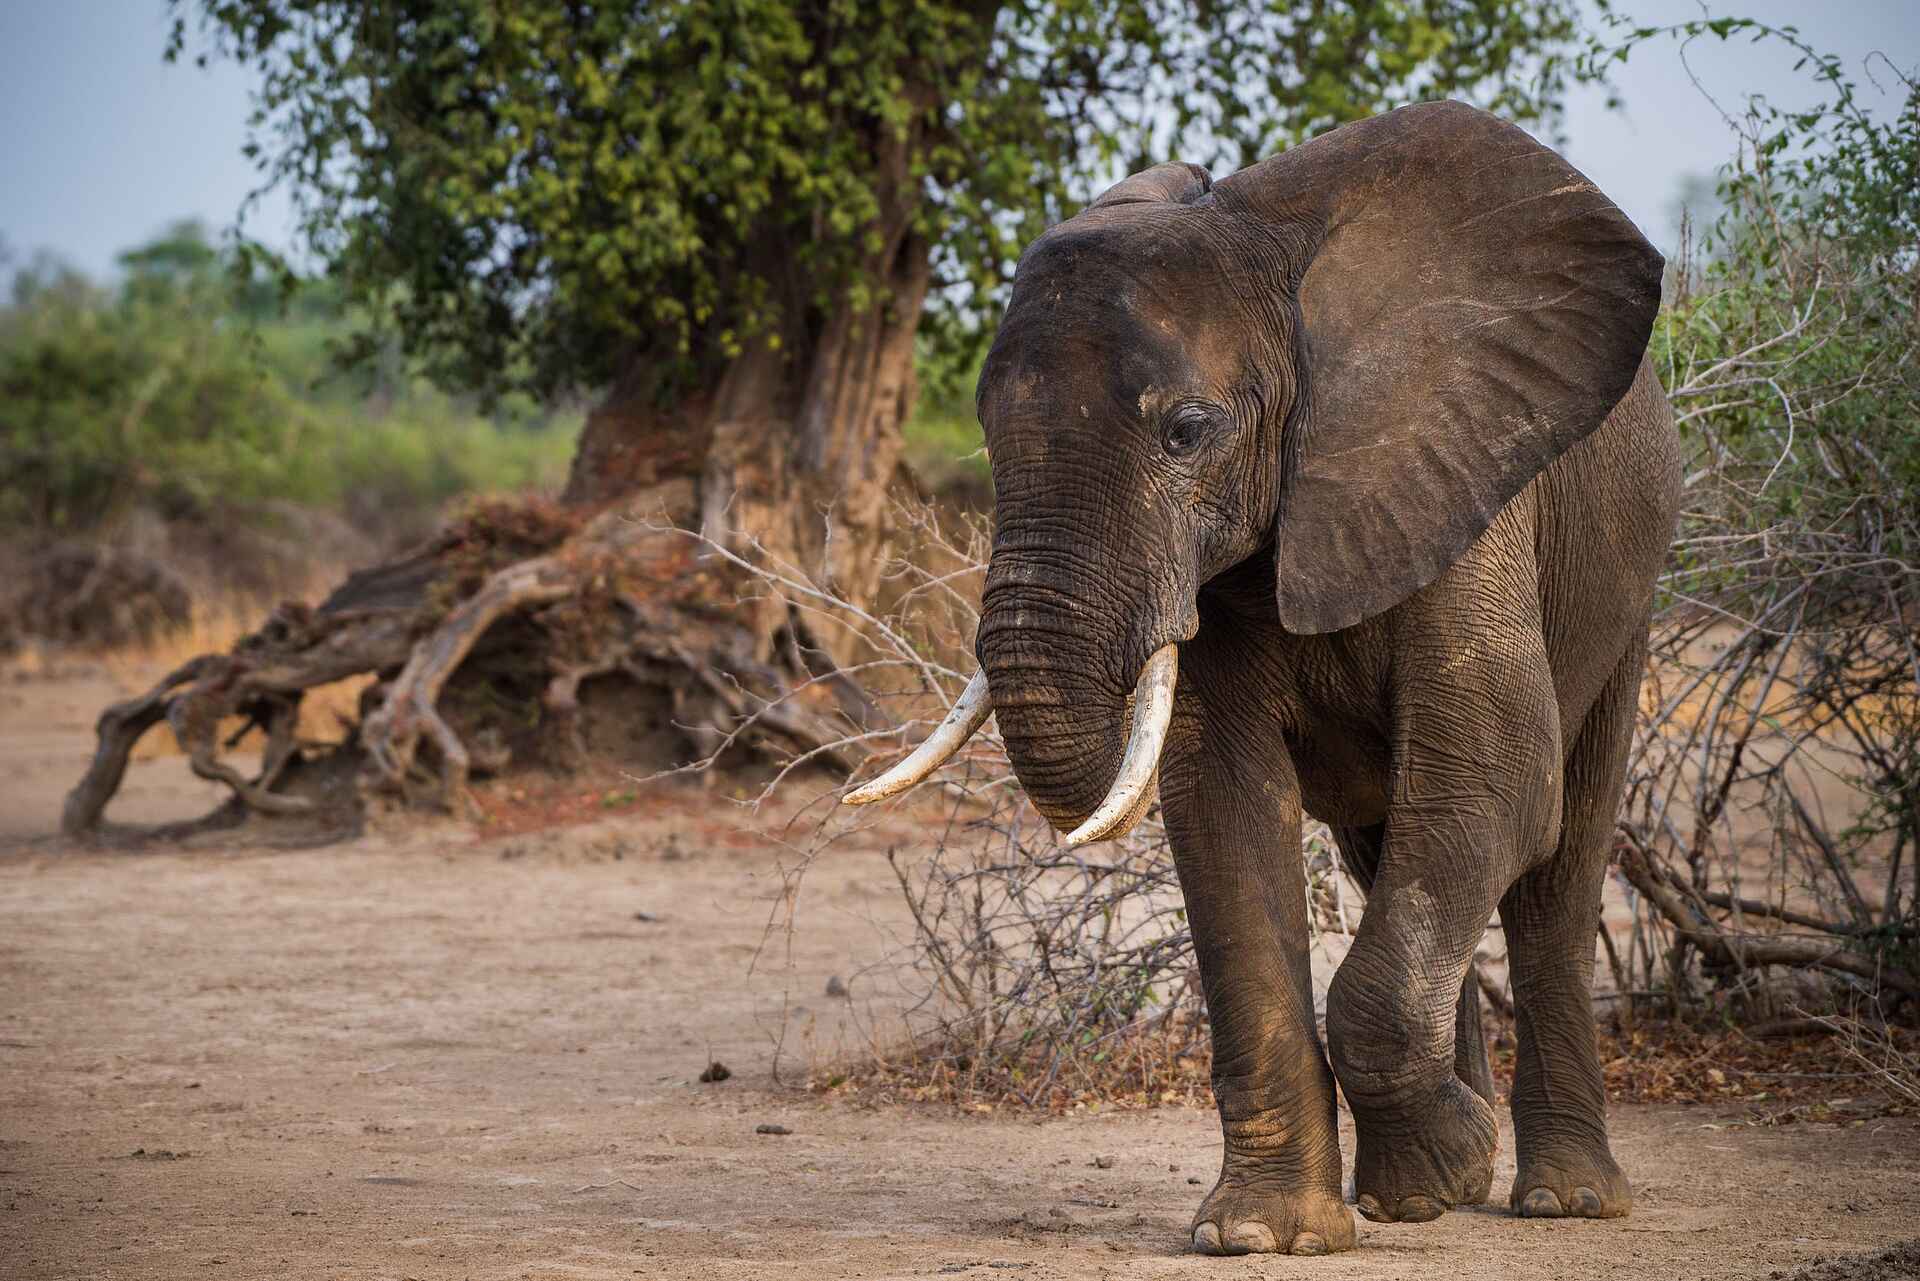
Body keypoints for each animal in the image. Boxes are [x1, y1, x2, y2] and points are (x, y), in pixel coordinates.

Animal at [847, 100, 1680, 1256]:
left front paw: (1448, 1157)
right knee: (1395, 849)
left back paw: (1561, 1199)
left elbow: (1500, 780)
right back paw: (1422, 1190)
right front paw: (1268, 1233)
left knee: (1557, 865)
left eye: (1186, 433)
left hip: (1625, 589)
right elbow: (1224, 805)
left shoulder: (1464, 481)